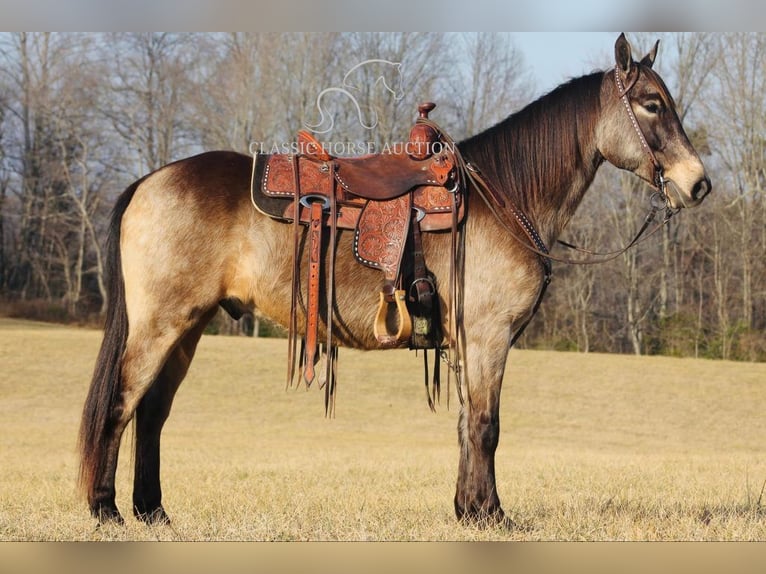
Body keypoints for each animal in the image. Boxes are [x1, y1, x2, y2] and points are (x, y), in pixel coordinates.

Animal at [79, 35, 712, 532]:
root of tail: (149, 180)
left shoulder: (468, 345)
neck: (503, 197)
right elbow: (486, 426)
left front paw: (467, 510)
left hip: (187, 329)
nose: (698, 183)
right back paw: (106, 510)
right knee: (122, 403)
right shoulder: (488, 338)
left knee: (152, 413)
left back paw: (153, 512)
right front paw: (493, 515)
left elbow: (465, 424)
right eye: (652, 104)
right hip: (160, 326)